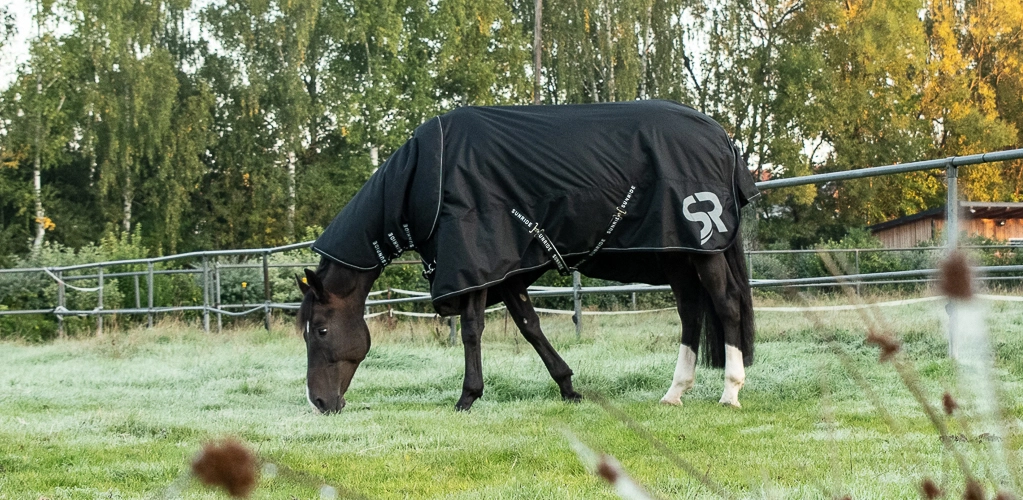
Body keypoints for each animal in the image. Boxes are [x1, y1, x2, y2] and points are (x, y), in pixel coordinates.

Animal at [296, 99, 758, 413]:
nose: (320, 402)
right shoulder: (507, 272)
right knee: (691, 313)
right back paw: (674, 392)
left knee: (727, 305)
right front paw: (568, 388)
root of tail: (721, 136)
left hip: (703, 247)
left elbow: (473, 330)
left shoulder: (475, 265)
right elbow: (530, 327)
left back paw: (731, 390)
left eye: (320, 330)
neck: (429, 177)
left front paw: (467, 397)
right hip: (679, 252)